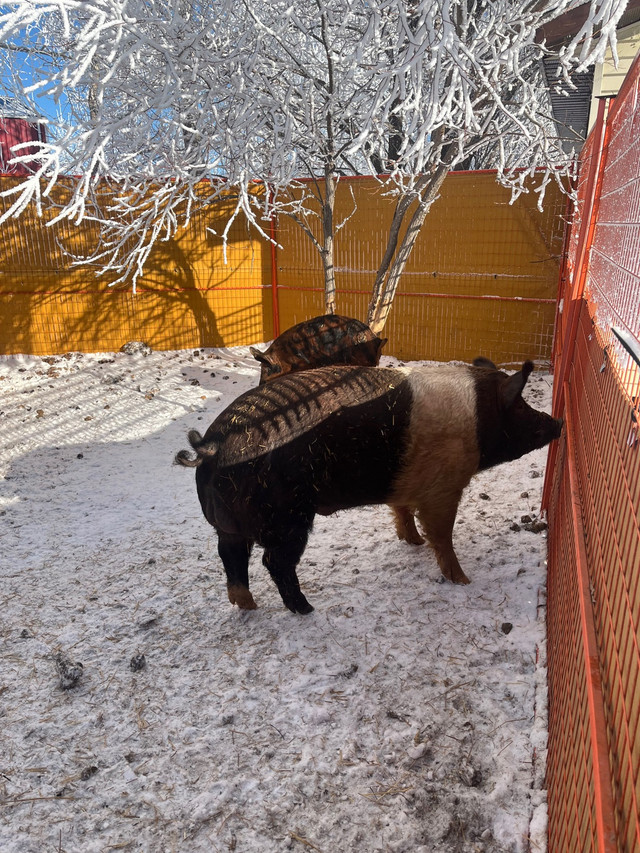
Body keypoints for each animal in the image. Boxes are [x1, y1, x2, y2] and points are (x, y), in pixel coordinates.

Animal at [175, 358, 560, 612]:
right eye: (521, 406)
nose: (558, 423)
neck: (478, 422)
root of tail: (212, 445)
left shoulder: (408, 485)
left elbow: (403, 512)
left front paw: (413, 542)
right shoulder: (444, 486)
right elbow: (442, 533)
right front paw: (462, 580)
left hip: (231, 525)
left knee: (230, 555)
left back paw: (247, 606)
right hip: (288, 518)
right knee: (274, 561)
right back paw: (306, 609)